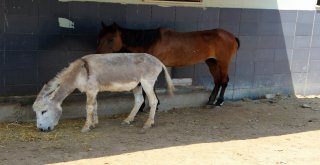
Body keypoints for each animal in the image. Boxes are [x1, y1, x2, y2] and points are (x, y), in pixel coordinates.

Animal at [96, 22, 239, 106]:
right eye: (99, 37)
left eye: (111, 39)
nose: (97, 54)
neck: (152, 42)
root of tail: (232, 36)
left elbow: (150, 87)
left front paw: (150, 105)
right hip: (212, 62)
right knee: (217, 81)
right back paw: (211, 100)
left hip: (223, 63)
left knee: (224, 81)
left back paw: (219, 101)